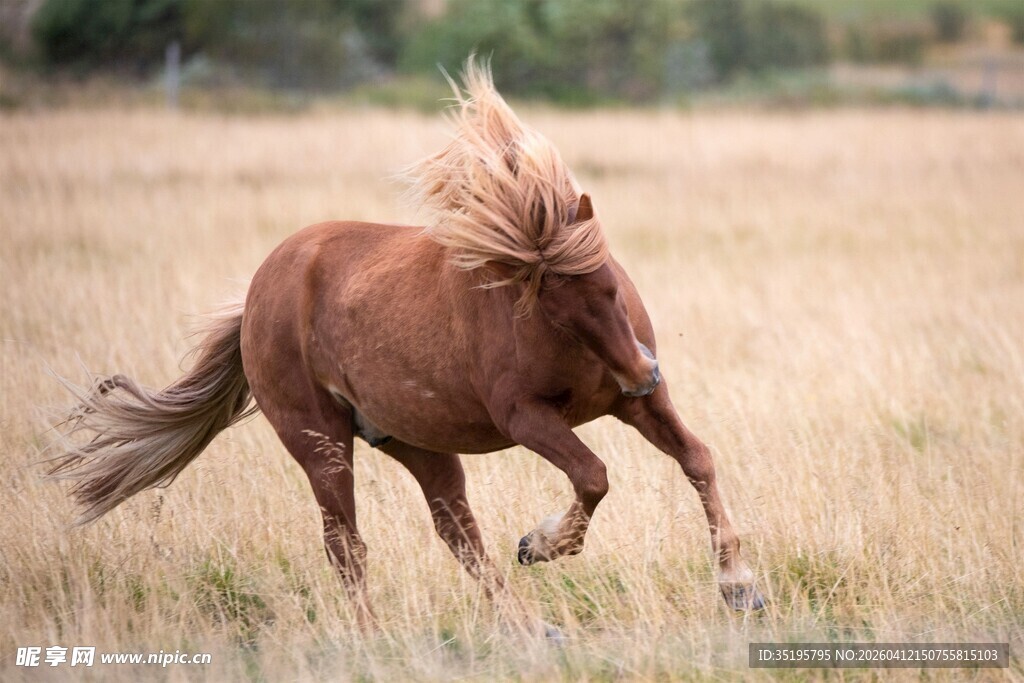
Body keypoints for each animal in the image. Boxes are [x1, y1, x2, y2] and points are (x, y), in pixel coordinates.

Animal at [49, 61, 764, 632]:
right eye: (551, 302)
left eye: (611, 285)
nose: (643, 372)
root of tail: (258, 291)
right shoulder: (529, 419)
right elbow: (594, 476)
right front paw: (541, 543)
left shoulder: (634, 406)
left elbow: (697, 459)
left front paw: (738, 587)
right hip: (321, 444)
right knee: (347, 544)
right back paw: (376, 635)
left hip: (419, 444)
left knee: (458, 534)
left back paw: (530, 629)